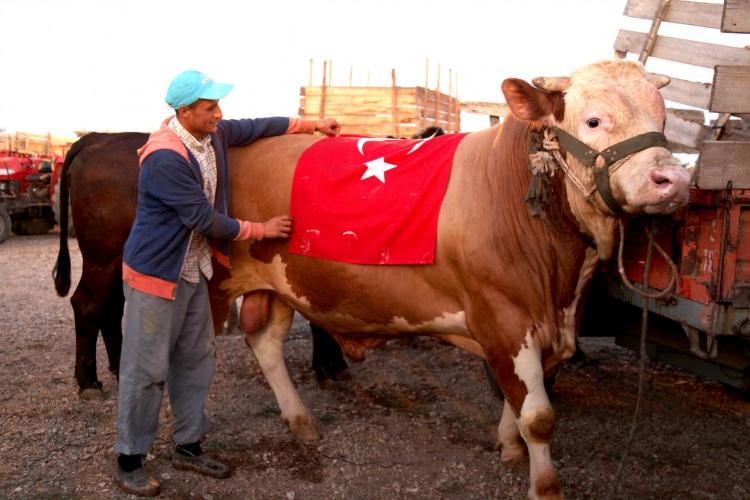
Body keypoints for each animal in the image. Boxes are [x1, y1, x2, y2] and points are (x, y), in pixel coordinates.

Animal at [213, 60, 692, 498]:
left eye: (663, 120)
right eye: (593, 120)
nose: (672, 179)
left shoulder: (550, 323)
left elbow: (519, 398)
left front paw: (509, 447)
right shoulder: (504, 316)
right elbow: (537, 416)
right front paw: (545, 485)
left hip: (279, 285)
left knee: (266, 345)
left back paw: (301, 420)